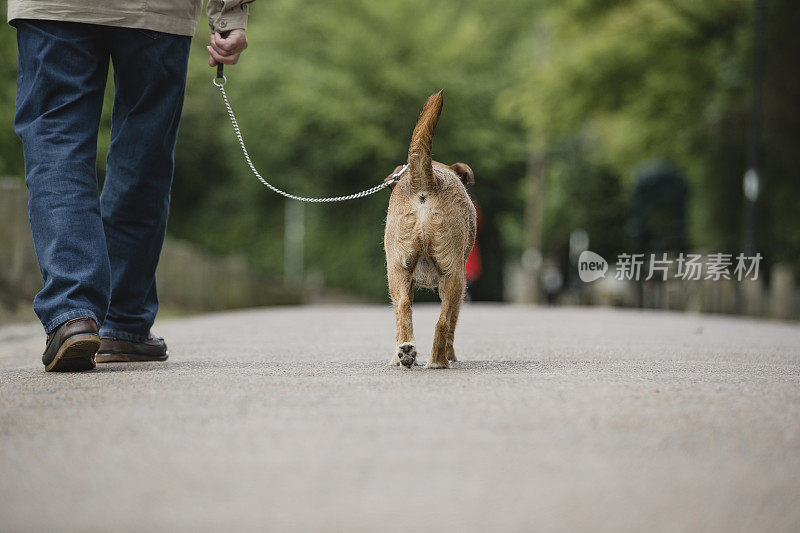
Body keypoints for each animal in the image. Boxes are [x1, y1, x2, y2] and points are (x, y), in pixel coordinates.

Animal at [386, 90, 476, 366]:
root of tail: (427, 179)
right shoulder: (460, 283)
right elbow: (451, 324)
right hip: (453, 276)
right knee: (443, 322)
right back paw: (439, 361)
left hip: (397, 270)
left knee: (403, 307)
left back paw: (406, 351)